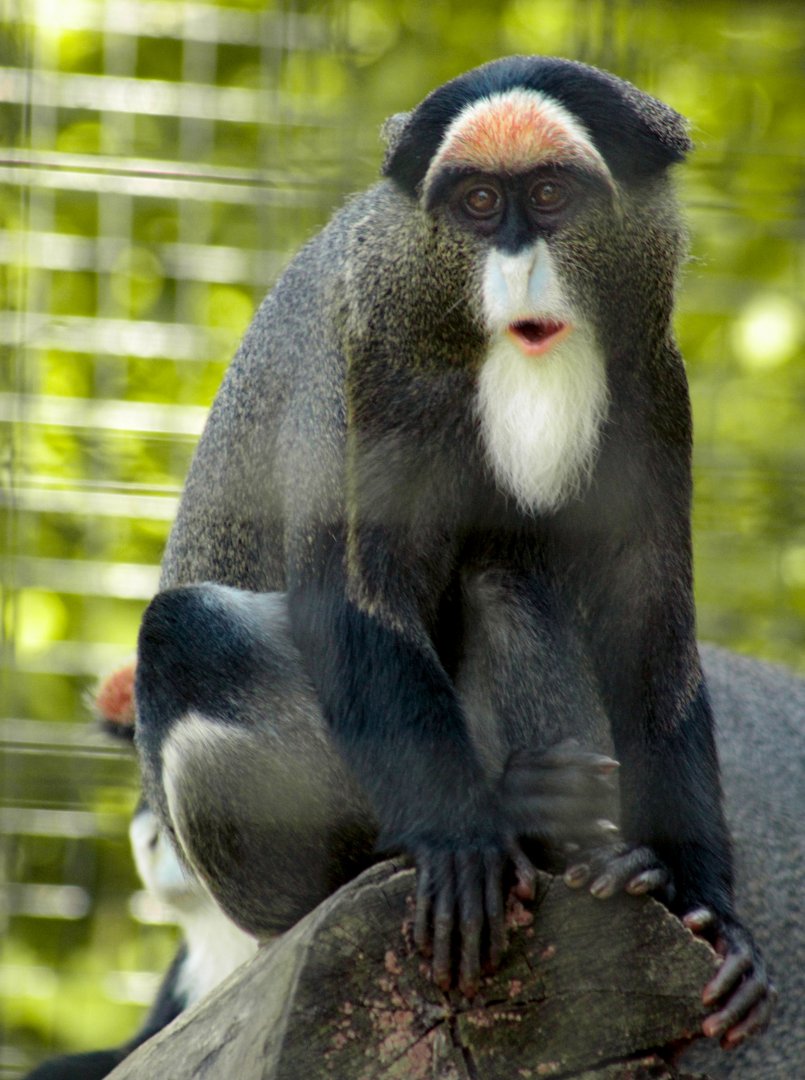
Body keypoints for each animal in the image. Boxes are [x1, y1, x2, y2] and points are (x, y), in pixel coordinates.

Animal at [134, 55, 775, 1056]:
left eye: (547, 196)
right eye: (477, 204)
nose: (516, 268)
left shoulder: (653, 381)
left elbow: (651, 629)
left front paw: (703, 906)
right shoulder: (358, 361)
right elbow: (355, 598)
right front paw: (460, 844)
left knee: (506, 570)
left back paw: (578, 845)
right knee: (186, 630)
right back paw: (492, 816)